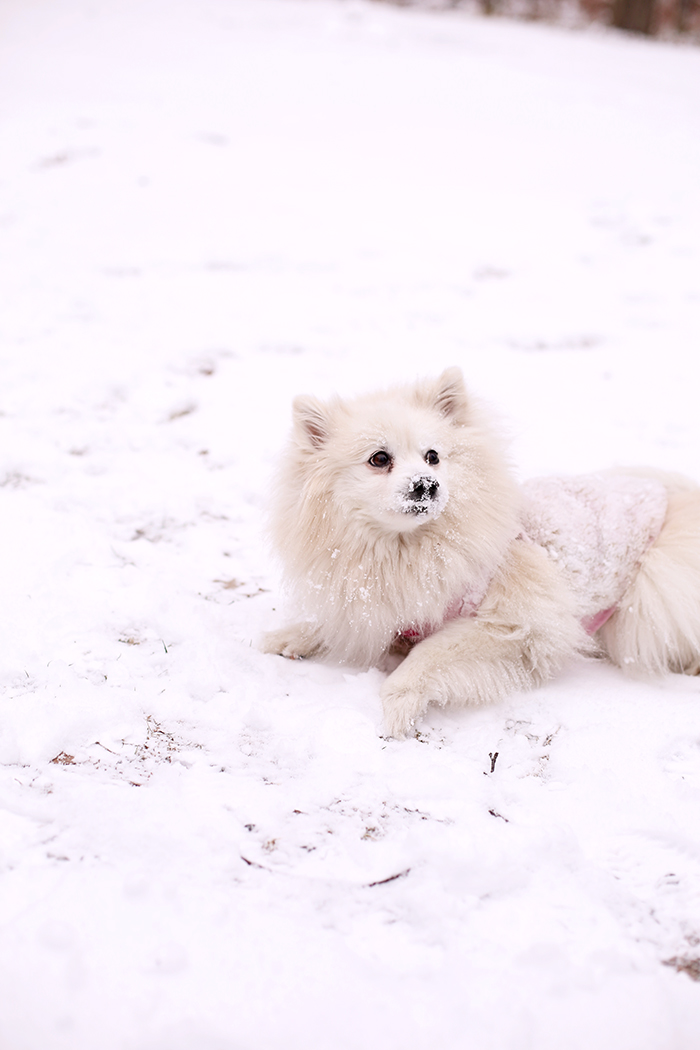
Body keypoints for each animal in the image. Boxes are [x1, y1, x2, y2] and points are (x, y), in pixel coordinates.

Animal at [261, 369, 700, 739]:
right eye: (379, 459)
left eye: (433, 456)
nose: (426, 484)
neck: (407, 549)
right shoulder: (379, 606)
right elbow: (335, 624)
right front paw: (292, 635)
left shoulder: (519, 626)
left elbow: (428, 655)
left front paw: (399, 704)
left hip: (651, 598)